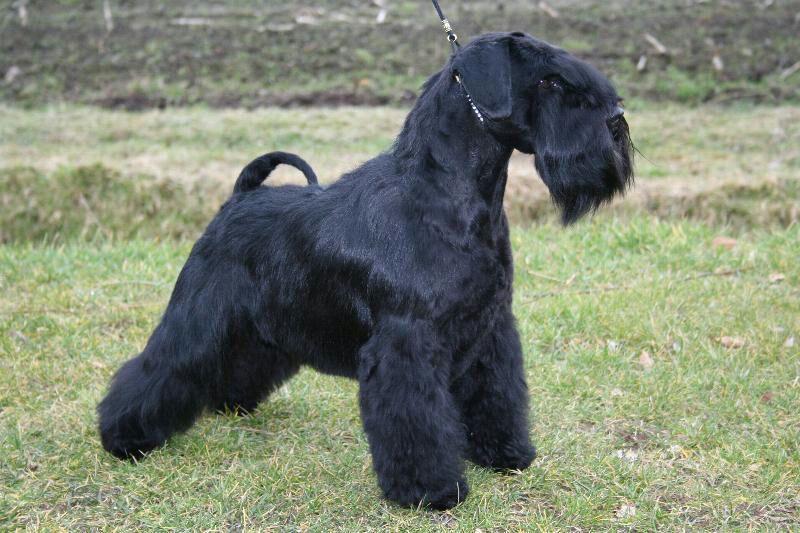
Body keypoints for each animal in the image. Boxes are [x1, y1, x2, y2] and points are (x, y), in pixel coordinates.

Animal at [98, 31, 633, 510]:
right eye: (549, 81)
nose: (616, 123)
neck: (448, 197)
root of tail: (239, 197)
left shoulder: (491, 327)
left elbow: (496, 396)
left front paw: (505, 454)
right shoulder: (407, 342)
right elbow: (416, 420)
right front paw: (430, 492)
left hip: (266, 324)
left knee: (243, 357)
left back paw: (230, 402)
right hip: (199, 314)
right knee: (158, 366)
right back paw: (124, 437)